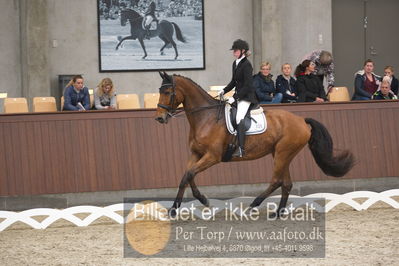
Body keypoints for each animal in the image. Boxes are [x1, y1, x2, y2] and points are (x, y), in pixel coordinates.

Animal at [155, 71, 354, 217]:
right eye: (159, 91)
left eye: (167, 92)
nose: (159, 118)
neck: (206, 117)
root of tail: (302, 121)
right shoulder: (196, 154)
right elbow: (185, 177)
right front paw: (176, 208)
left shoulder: (212, 156)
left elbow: (189, 174)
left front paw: (203, 200)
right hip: (281, 153)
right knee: (286, 183)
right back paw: (278, 213)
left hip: (283, 153)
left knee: (276, 181)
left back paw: (253, 205)